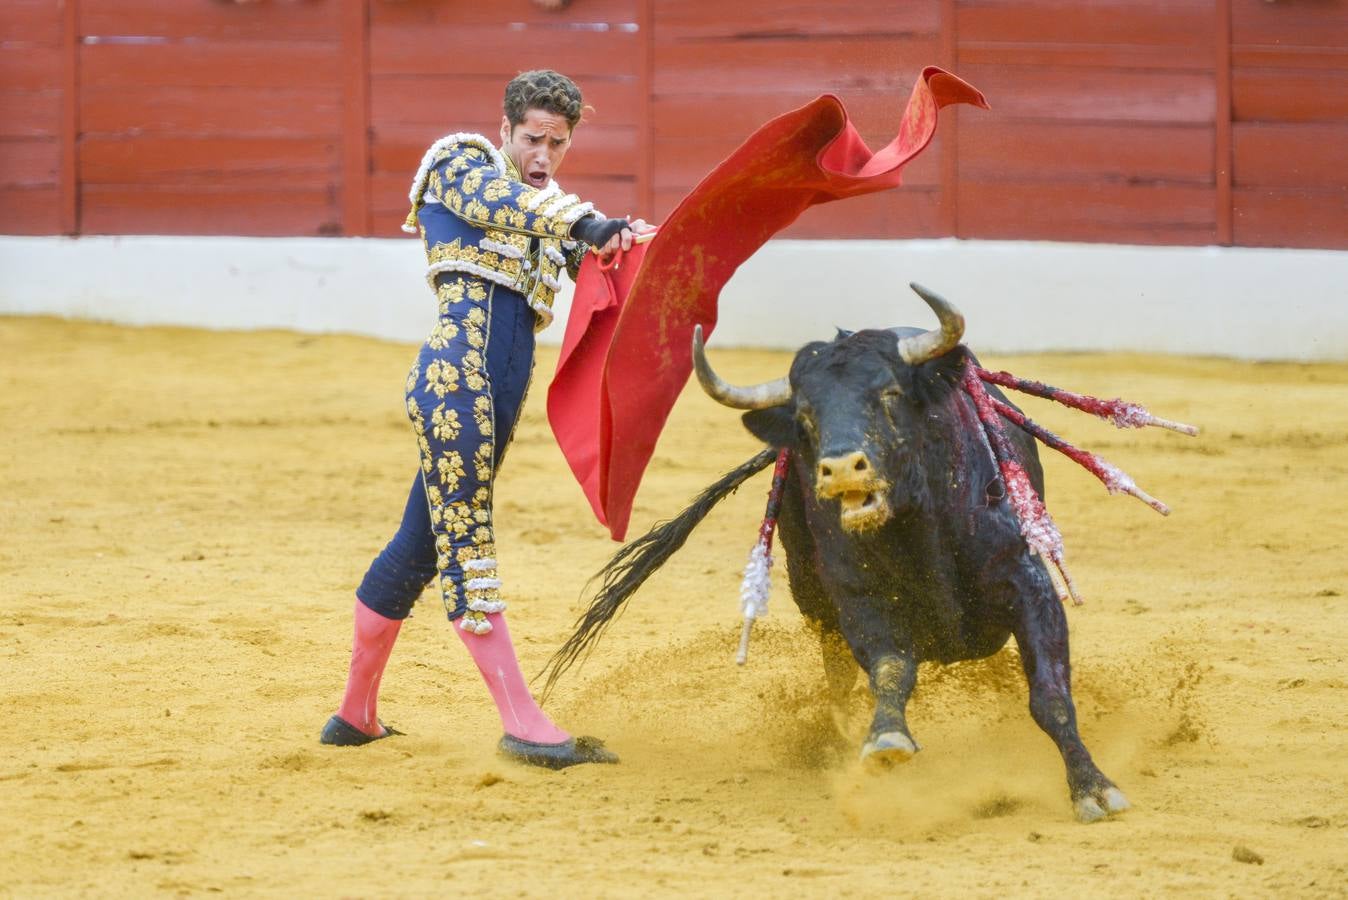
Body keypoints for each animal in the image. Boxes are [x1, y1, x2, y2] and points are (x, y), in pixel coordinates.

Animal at [541, 286, 1132, 824]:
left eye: (889, 393)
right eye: (805, 416)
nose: (843, 467)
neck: (918, 525)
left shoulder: (1028, 582)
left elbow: (1050, 694)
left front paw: (1094, 789)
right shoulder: (860, 601)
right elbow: (891, 670)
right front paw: (885, 739)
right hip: (813, 596)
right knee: (839, 675)